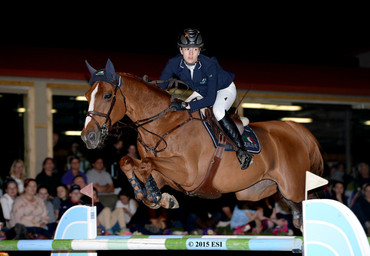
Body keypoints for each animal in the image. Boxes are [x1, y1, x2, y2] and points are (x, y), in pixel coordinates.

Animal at [81, 60, 324, 230]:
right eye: (87, 95)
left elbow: (146, 163)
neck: (162, 126)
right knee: (297, 211)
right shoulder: (165, 175)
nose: (87, 137)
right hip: (261, 192)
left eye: (108, 95)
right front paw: (158, 198)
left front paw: (158, 197)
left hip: (293, 187)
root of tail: (295, 129)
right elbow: (130, 163)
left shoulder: (188, 174)